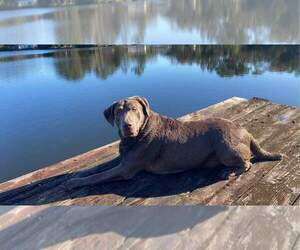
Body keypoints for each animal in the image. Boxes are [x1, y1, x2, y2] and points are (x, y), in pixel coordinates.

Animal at [65, 96, 282, 188]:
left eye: (134, 110)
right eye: (118, 112)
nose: (127, 126)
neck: (136, 136)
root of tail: (247, 132)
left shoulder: (126, 168)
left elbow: (98, 176)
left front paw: (75, 183)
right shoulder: (124, 158)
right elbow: (96, 168)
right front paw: (77, 174)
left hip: (225, 147)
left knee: (246, 163)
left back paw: (229, 172)